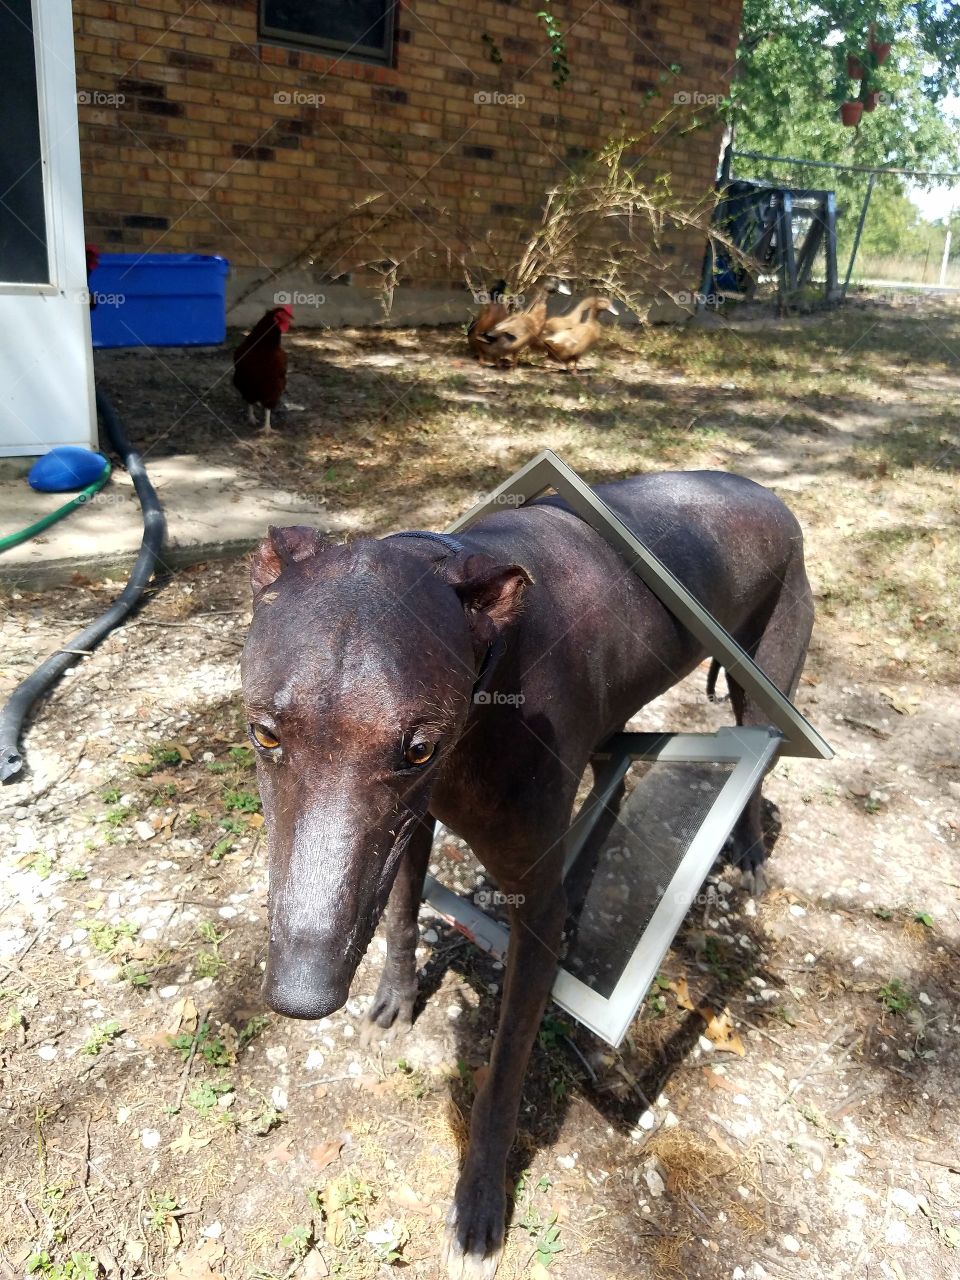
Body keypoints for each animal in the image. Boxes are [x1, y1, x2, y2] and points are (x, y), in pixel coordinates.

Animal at [240, 473, 814, 1280]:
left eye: (419, 747)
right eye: (264, 733)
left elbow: (506, 1064)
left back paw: (752, 849)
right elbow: (401, 906)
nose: (301, 995)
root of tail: (764, 492)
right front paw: (396, 995)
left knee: (759, 750)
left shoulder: (528, 909)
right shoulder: (412, 824)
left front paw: (479, 1202)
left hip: (761, 681)